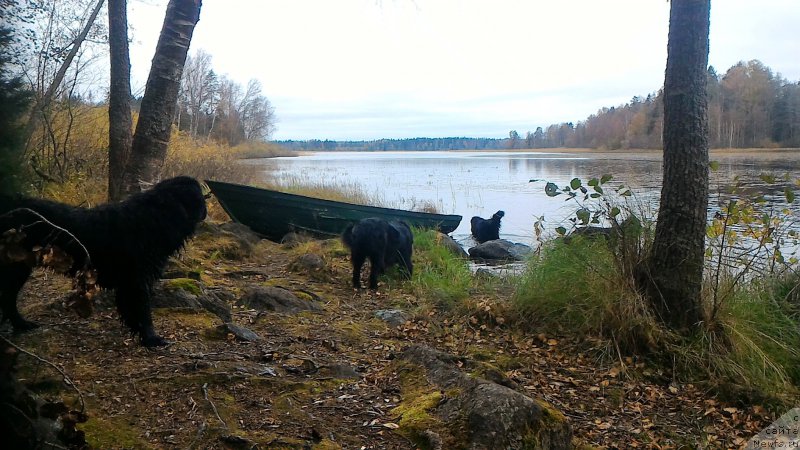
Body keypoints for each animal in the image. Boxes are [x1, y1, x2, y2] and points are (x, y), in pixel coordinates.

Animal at [0, 177, 206, 348]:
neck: (152, 219)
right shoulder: (137, 282)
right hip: (14, 268)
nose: (206, 211)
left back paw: (21, 324)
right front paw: (151, 339)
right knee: (8, 298)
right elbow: (143, 312)